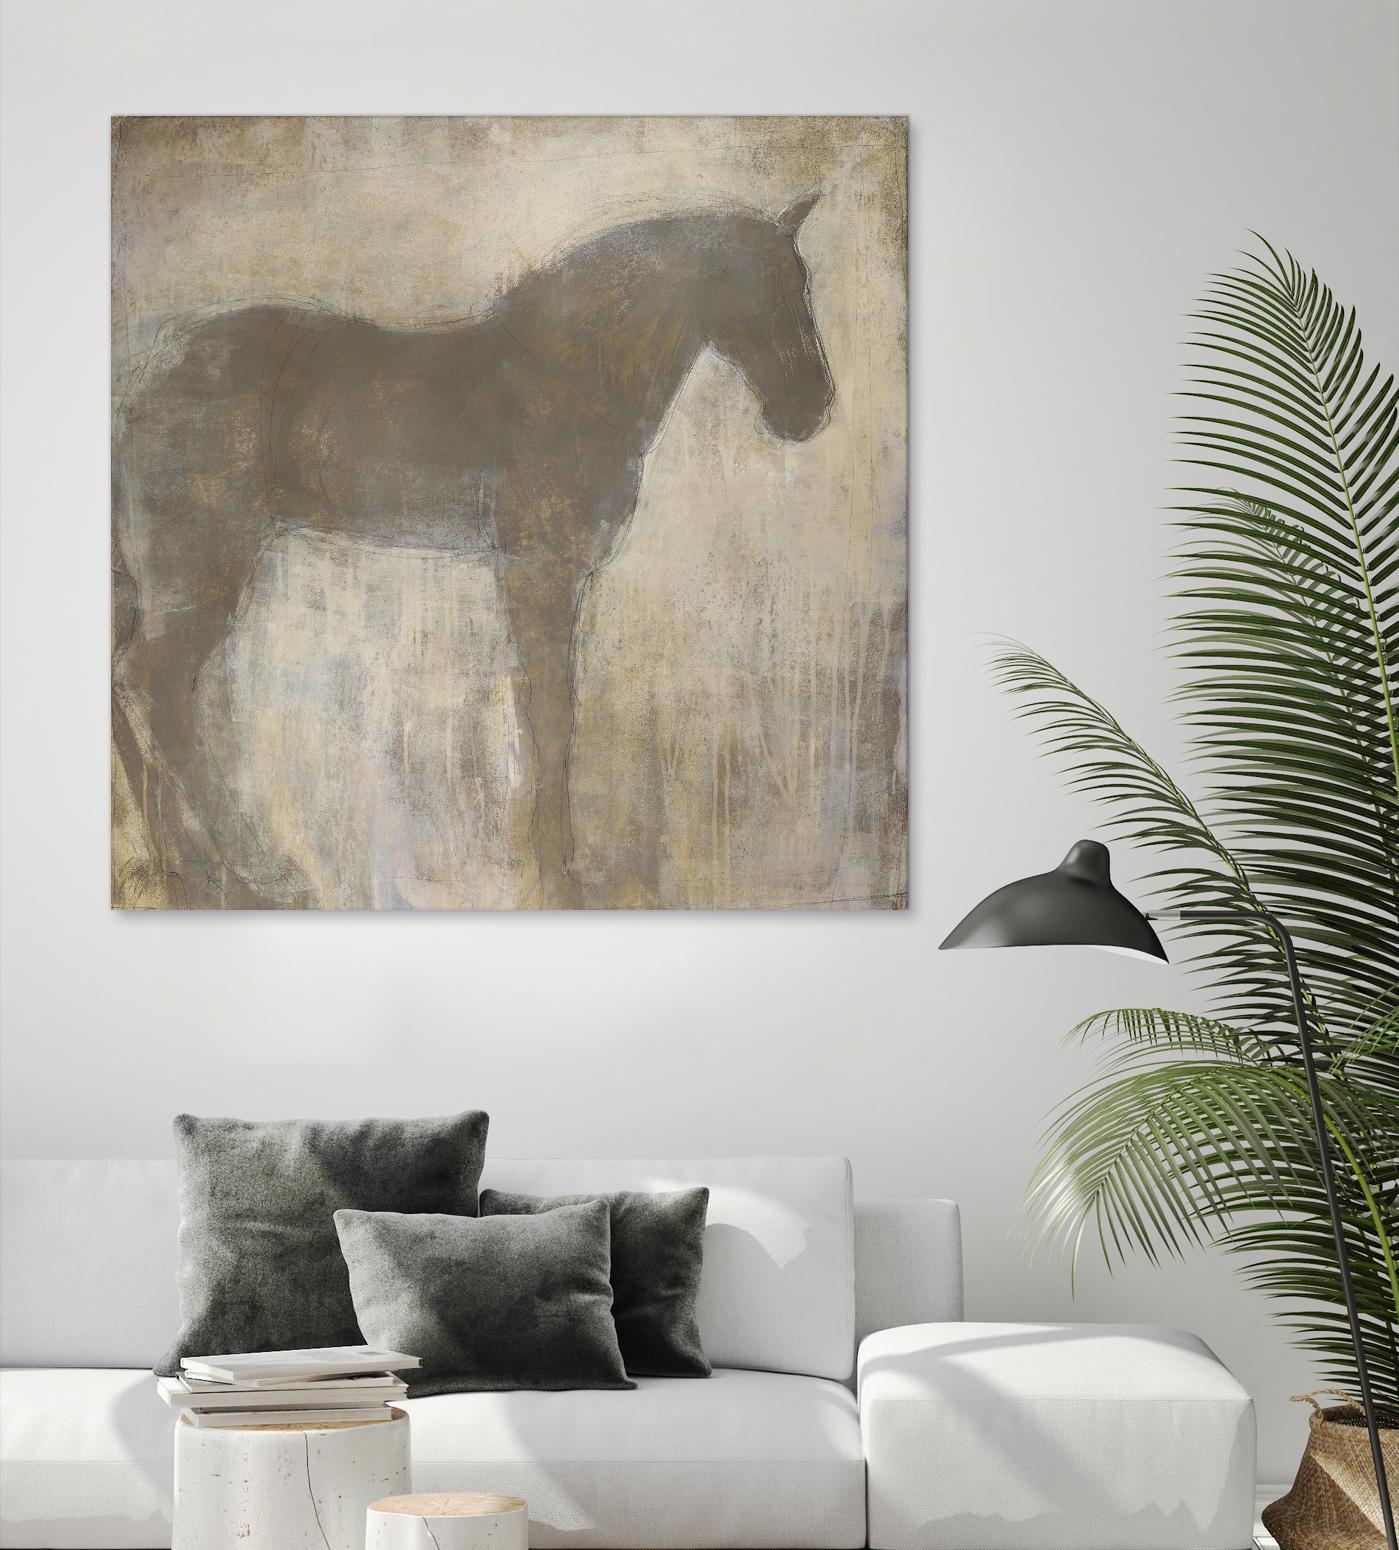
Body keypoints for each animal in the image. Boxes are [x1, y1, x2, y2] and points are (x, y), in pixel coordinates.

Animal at [113, 192, 834, 908]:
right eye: (770, 287)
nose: (811, 408)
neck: (569, 373)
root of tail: (147, 382)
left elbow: (537, 714)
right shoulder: (541, 574)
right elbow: (552, 716)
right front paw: (558, 875)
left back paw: (178, 863)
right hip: (203, 566)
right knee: (157, 684)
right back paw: (255, 869)